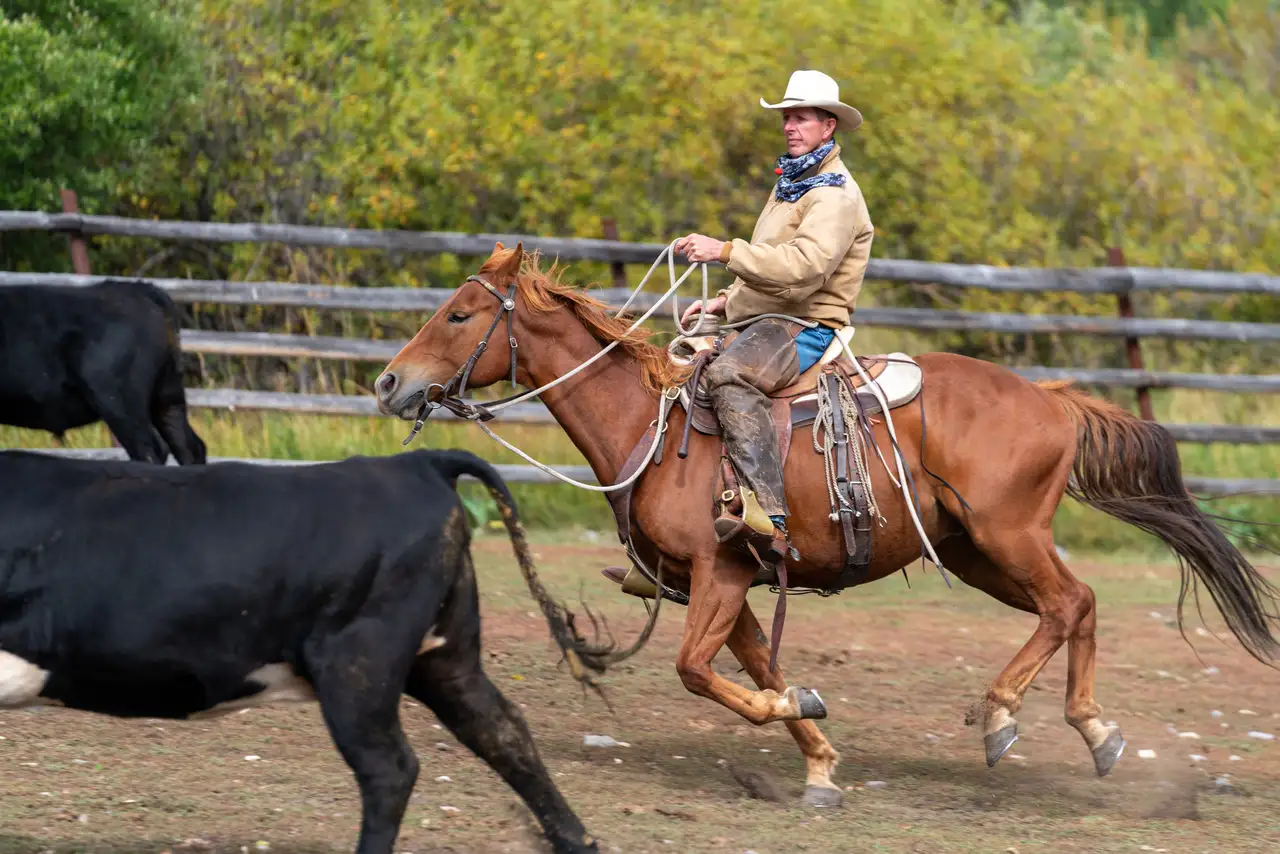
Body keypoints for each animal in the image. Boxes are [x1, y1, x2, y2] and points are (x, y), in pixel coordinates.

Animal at [0, 450, 599, 850]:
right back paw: (577, 840)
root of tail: (412, 462)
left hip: (356, 662)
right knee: (503, 732)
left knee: (391, 769)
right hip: (444, 657)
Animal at [373, 241, 1274, 809]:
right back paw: (1095, 732)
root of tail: (1050, 399)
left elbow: (698, 671)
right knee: (1077, 605)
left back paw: (1006, 717)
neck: (651, 428)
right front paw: (817, 760)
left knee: (1068, 604)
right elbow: (758, 666)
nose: (387, 383)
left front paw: (801, 717)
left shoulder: (720, 572)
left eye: (459, 315)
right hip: (979, 554)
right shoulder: (733, 584)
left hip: (1009, 538)